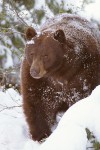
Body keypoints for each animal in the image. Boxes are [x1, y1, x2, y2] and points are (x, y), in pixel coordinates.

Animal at [20, 13, 100, 142]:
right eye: (32, 53)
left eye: (46, 55)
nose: (35, 71)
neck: (58, 72)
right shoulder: (36, 81)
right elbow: (36, 104)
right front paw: (42, 135)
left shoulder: (83, 73)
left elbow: (79, 98)